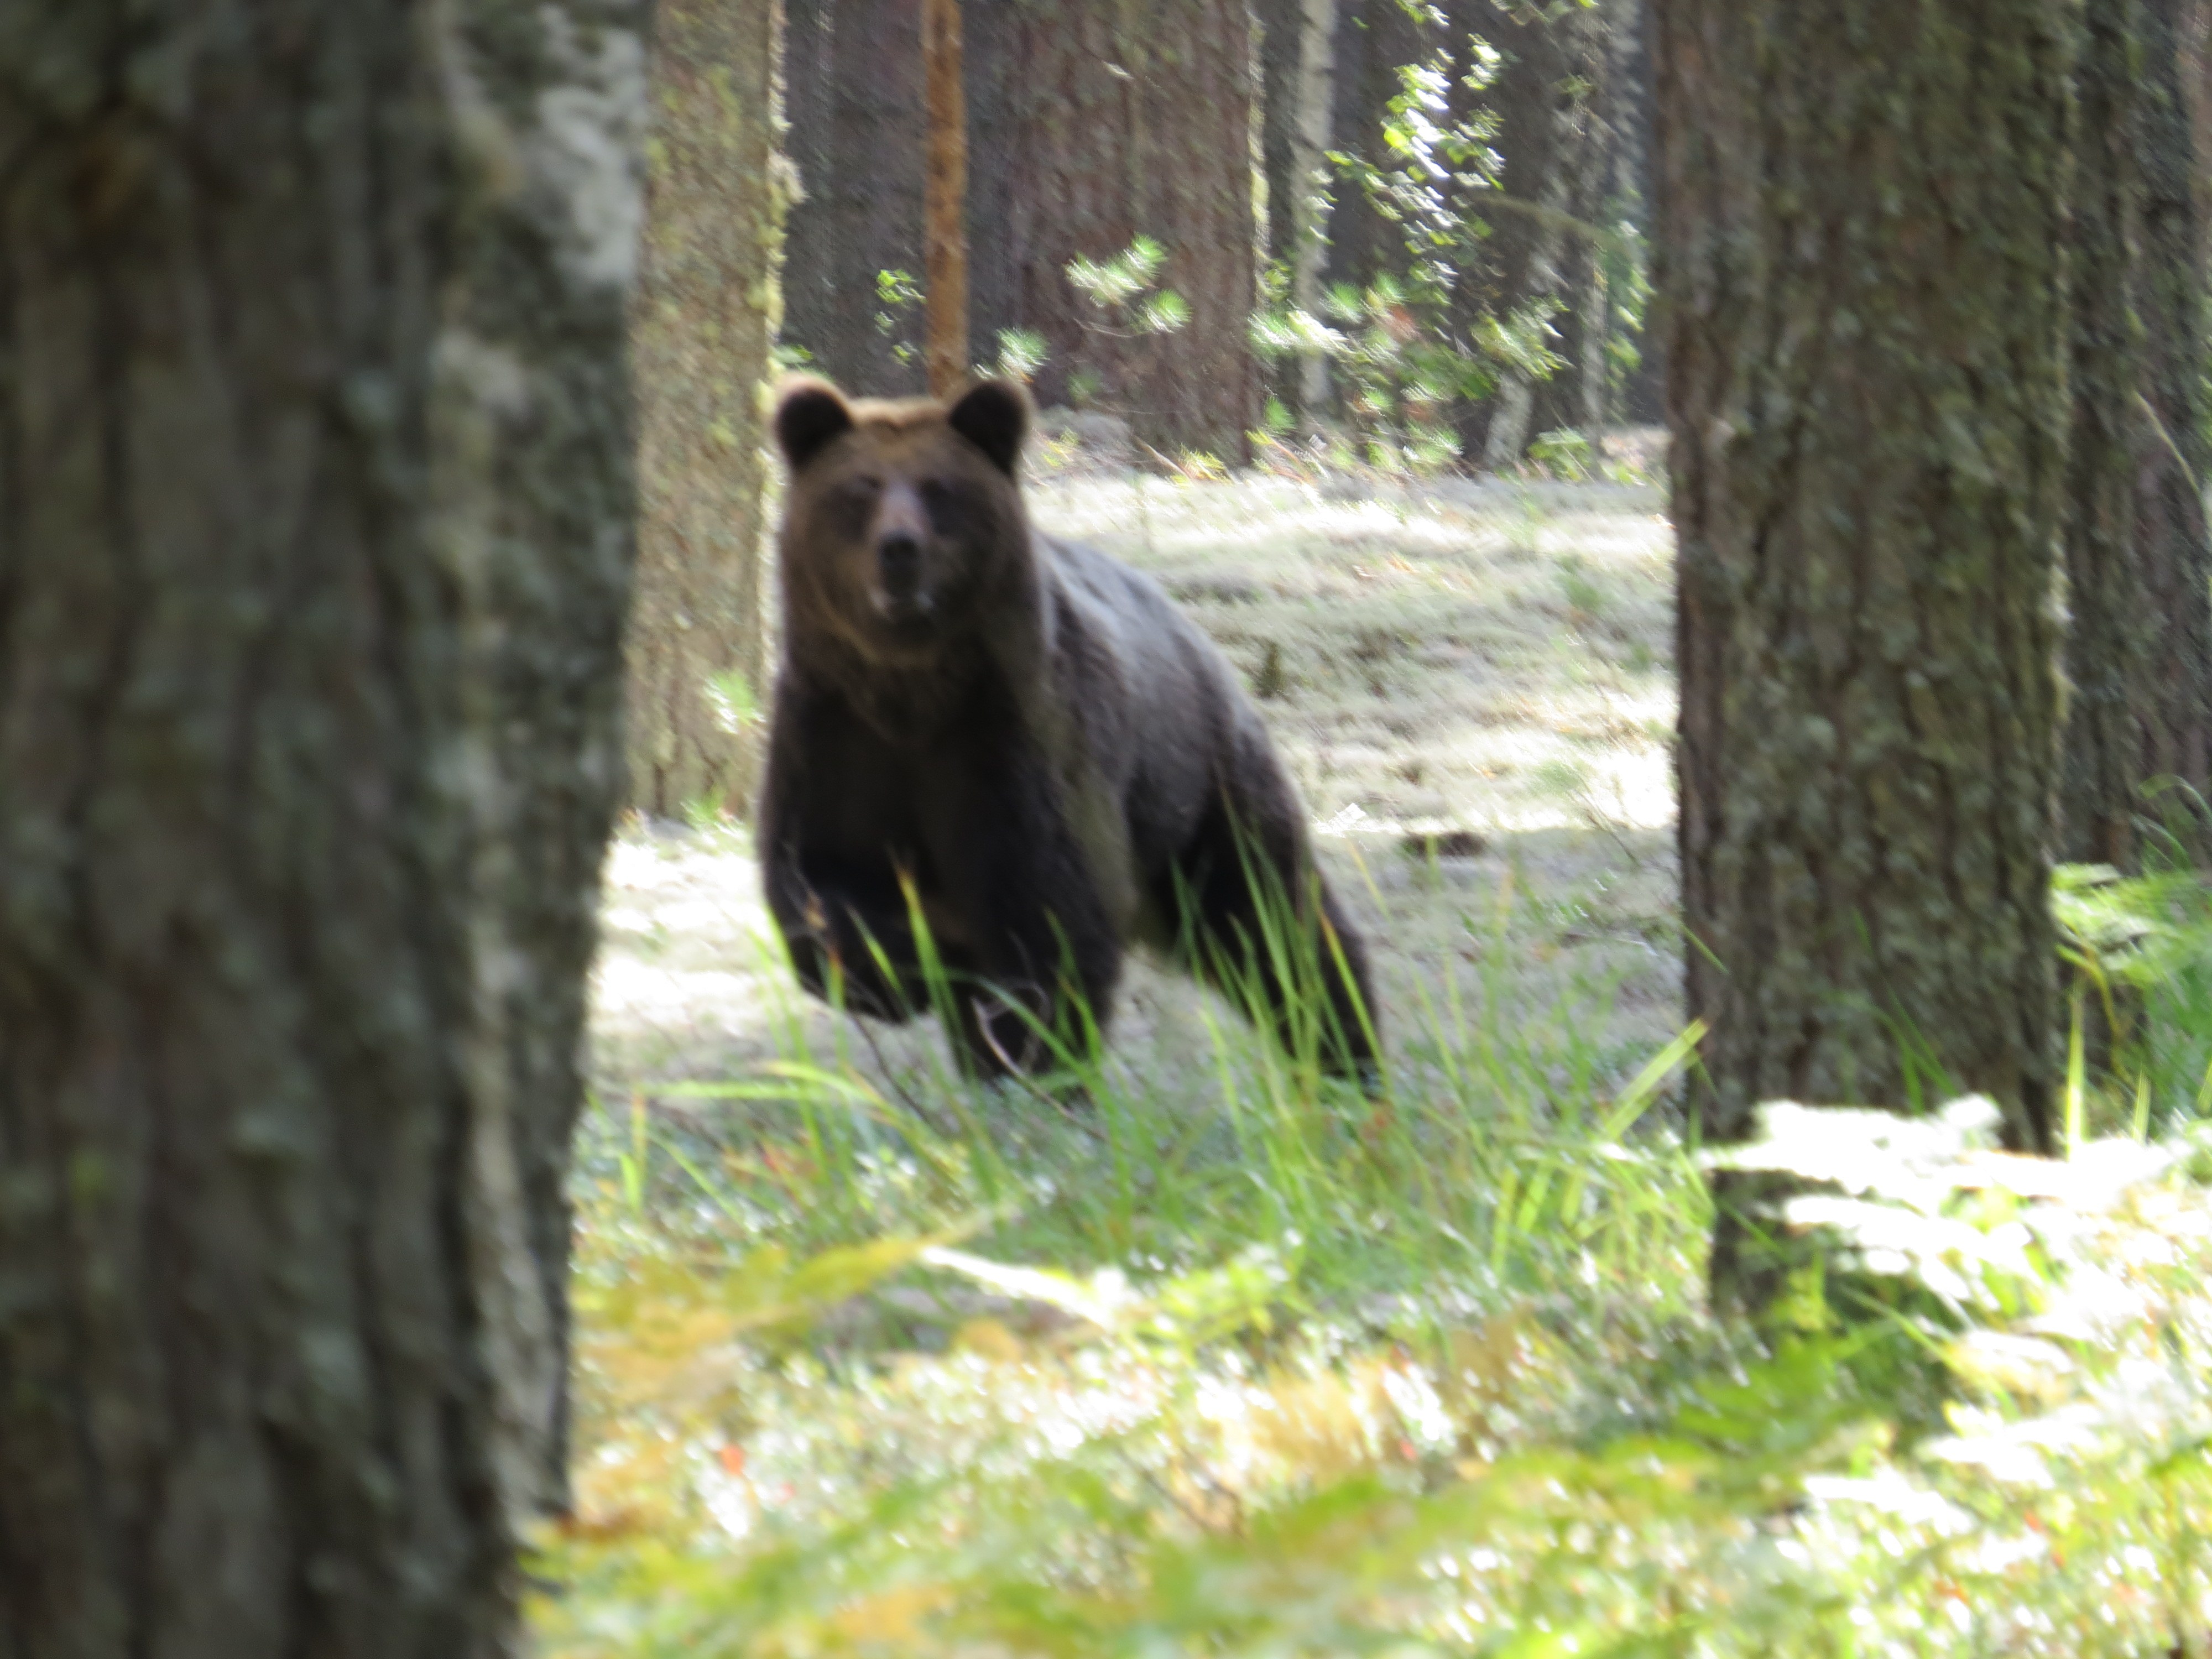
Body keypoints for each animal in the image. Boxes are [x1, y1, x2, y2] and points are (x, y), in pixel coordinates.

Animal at [765, 369, 1380, 1084]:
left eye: (938, 488)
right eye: (860, 488)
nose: (899, 550)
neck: (913, 688)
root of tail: (1190, 631)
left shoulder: (1012, 741)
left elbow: (1051, 923)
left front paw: (1033, 1065)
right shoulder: (834, 732)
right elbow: (815, 877)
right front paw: (893, 972)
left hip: (1199, 787)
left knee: (1275, 921)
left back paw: (1349, 1056)